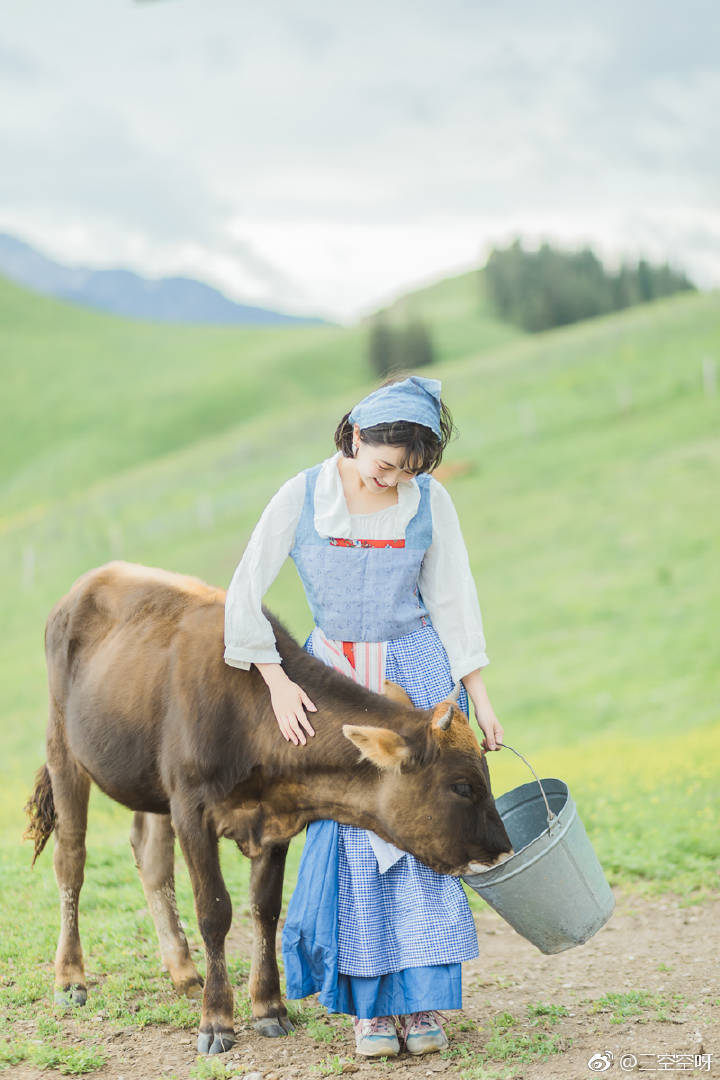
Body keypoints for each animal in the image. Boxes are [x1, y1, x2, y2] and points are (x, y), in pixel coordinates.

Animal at [25, 565, 511, 1054]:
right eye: (462, 786)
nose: (503, 847)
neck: (252, 716)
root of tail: (87, 583)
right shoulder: (191, 809)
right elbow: (214, 911)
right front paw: (216, 1020)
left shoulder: (275, 818)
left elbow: (265, 909)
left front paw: (268, 1007)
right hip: (62, 747)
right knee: (71, 860)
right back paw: (70, 979)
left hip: (152, 785)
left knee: (152, 860)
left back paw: (183, 972)